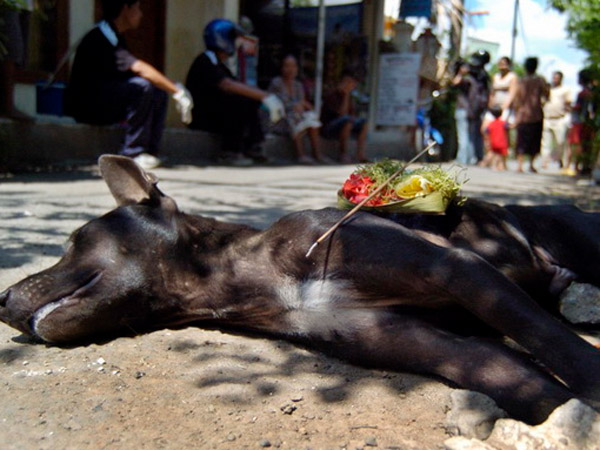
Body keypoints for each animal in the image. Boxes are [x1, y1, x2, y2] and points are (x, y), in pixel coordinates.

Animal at [1, 154, 600, 422]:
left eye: (75, 238)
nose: (3, 300)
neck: (246, 275)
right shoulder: (427, 344)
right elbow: (529, 384)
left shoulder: (458, 268)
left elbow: (553, 344)